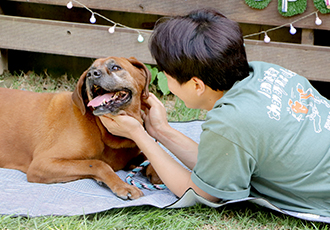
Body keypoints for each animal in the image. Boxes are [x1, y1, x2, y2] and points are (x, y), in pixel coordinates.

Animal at [0, 56, 159, 199]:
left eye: (115, 67)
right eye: (89, 70)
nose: (92, 74)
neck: (101, 129)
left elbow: (146, 155)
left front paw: (155, 171)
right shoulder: (42, 164)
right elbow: (98, 164)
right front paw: (123, 186)